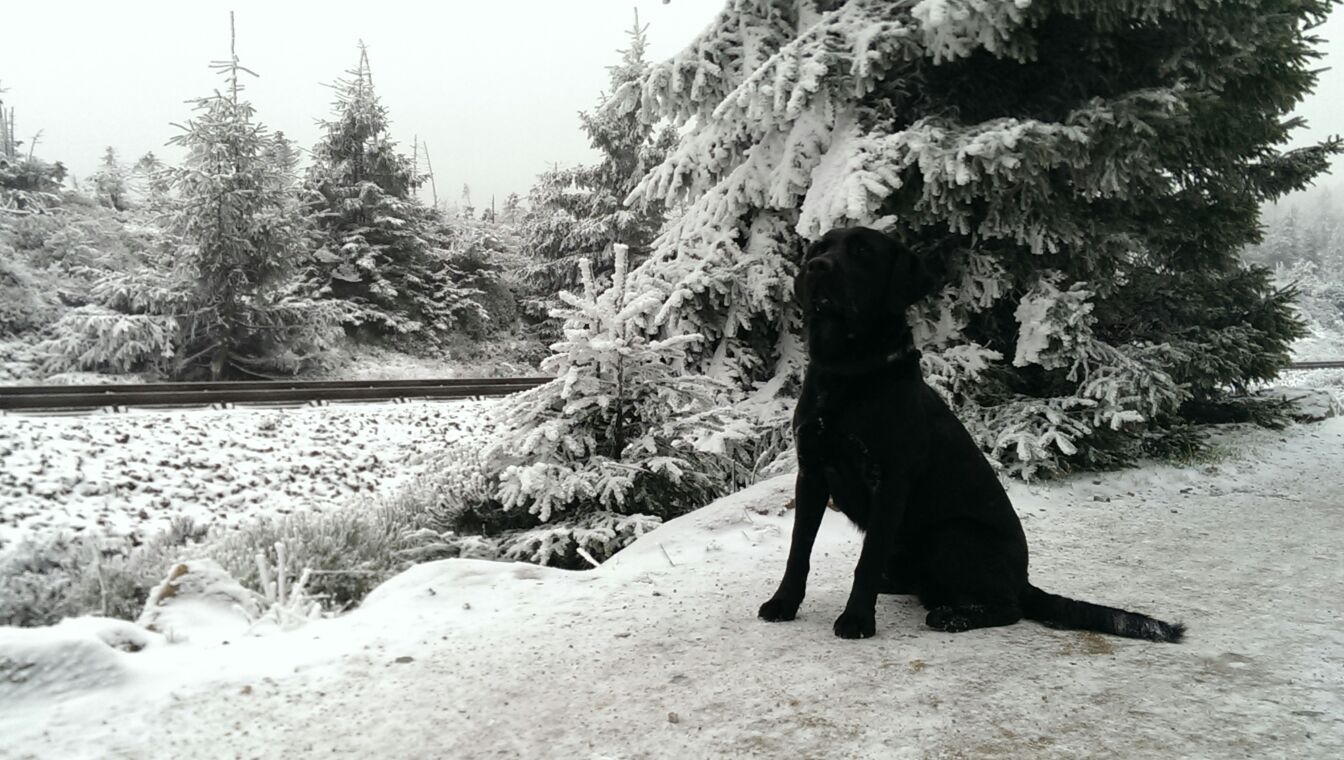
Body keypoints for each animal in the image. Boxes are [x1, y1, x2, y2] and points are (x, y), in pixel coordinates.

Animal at [758, 224, 1188, 640]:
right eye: (819, 249)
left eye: (862, 251)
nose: (816, 268)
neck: (848, 372)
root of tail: (1022, 581)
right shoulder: (811, 473)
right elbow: (798, 551)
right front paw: (783, 603)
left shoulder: (890, 481)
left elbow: (865, 560)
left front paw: (857, 620)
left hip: (951, 535)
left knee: (1006, 608)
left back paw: (951, 616)